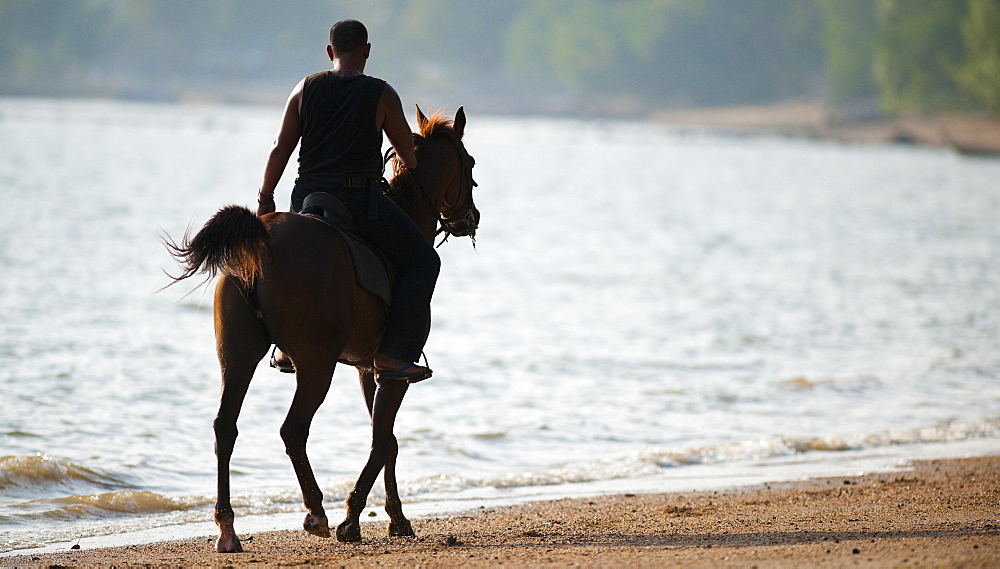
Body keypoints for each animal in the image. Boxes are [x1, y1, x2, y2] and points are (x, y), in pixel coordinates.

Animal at [166, 106, 478, 552]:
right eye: (470, 163)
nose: (472, 217)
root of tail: (263, 236)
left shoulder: (369, 367)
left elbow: (388, 441)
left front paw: (396, 517)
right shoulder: (394, 371)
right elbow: (383, 439)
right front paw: (354, 517)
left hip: (238, 355)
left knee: (225, 428)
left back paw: (227, 527)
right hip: (316, 365)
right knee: (293, 430)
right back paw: (316, 511)